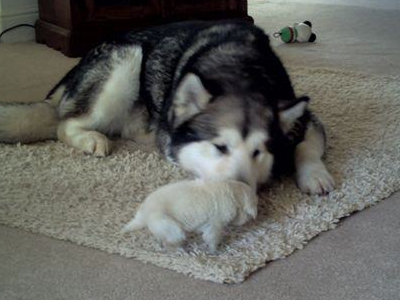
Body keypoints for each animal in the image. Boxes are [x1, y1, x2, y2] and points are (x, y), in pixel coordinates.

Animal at [0, 20, 334, 195]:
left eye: (258, 152)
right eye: (219, 147)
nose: (238, 191)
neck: (240, 71)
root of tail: (74, 70)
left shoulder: (305, 117)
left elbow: (307, 145)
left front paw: (314, 174)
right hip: (126, 60)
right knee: (64, 124)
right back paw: (91, 139)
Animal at [122, 179, 258, 252]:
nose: (248, 221)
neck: (233, 193)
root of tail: (144, 214)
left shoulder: (207, 224)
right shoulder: (215, 223)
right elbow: (213, 237)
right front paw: (214, 249)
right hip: (172, 227)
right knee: (169, 242)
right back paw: (179, 250)